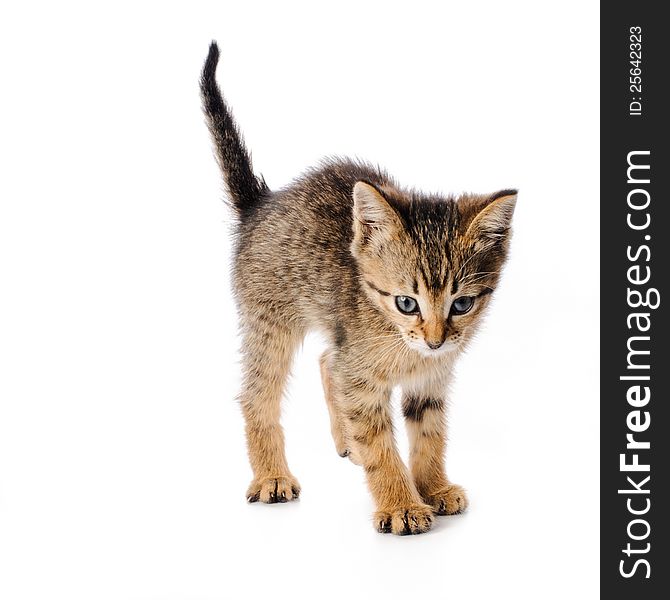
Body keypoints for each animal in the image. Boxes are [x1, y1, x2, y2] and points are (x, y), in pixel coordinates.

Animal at [202, 44, 516, 536]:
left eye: (462, 303)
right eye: (407, 302)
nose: (435, 340)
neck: (399, 342)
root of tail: (261, 203)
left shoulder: (430, 379)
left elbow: (430, 433)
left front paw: (433, 487)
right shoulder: (363, 380)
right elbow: (380, 445)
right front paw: (401, 505)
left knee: (327, 359)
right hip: (270, 321)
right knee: (257, 394)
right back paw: (272, 476)